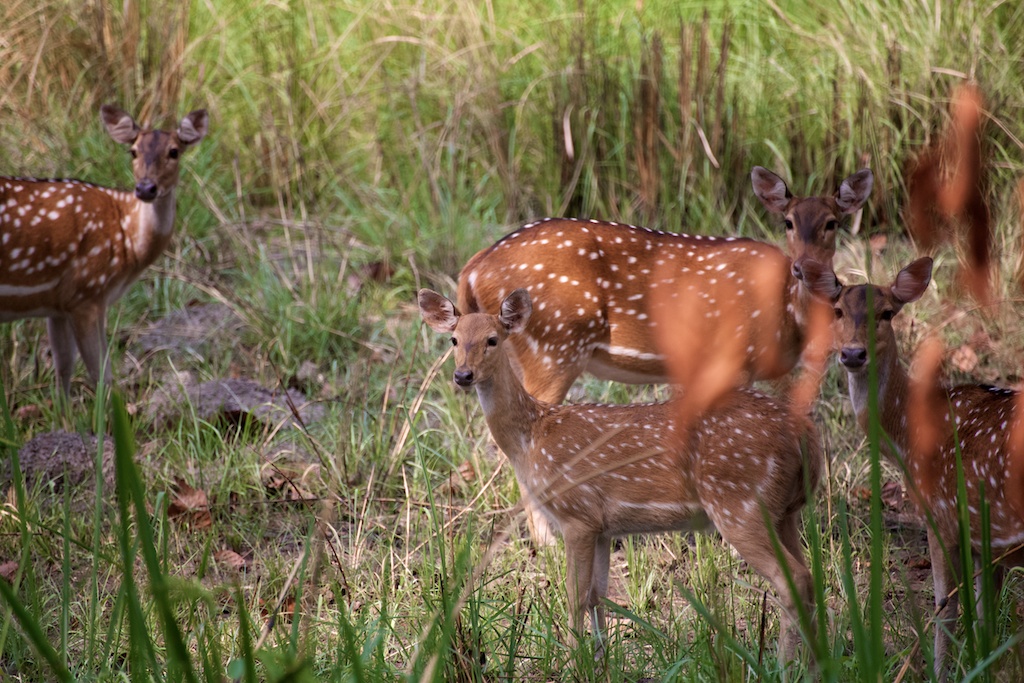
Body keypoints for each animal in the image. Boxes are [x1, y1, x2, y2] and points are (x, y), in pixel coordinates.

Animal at [0, 104, 207, 393]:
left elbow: (64, 368)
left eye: (174, 151)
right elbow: (102, 375)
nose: (146, 188)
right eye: (133, 151)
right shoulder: (86, 292)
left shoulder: (59, 303)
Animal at [415, 286, 823, 655]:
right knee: (809, 577)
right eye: (454, 339)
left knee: (794, 579)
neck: (531, 439)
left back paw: (785, 663)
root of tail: (805, 434)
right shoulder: (603, 527)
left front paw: (573, 660)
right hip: (785, 510)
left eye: (493, 339)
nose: (463, 376)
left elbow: (576, 595)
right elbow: (598, 594)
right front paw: (599, 658)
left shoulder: (577, 513)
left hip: (740, 502)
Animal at [464, 166, 872, 544]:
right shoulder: (732, 359)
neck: (787, 313)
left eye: (832, 222)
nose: (811, 271)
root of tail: (473, 268)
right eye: (788, 222)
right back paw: (547, 542)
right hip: (554, 347)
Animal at [802, 258, 1024, 679]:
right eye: (837, 311)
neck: (909, 437)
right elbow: (985, 618)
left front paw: (940, 672)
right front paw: (983, 668)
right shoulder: (985, 540)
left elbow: (945, 608)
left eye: (887, 313)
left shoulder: (943, 516)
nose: (853, 354)